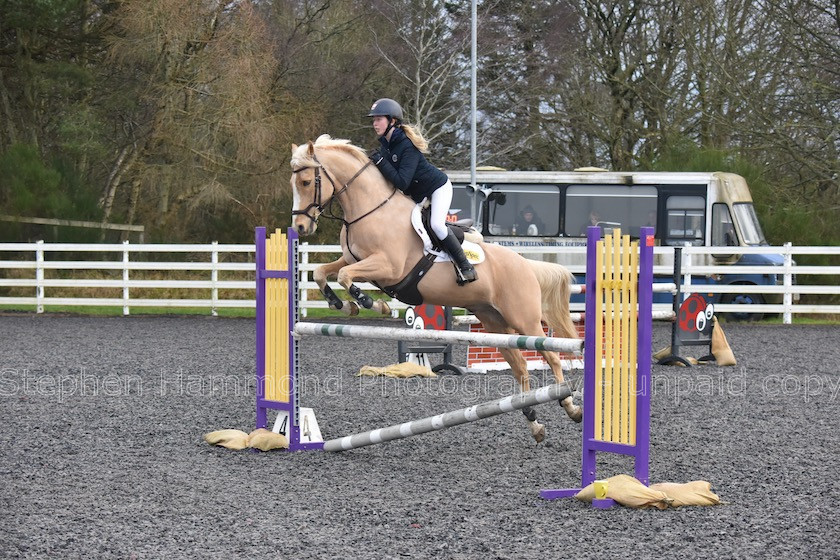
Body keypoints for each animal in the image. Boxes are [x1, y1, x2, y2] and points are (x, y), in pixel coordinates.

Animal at [292, 135, 580, 442]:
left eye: (307, 182)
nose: (300, 227)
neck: (371, 210)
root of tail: (526, 264)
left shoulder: (388, 268)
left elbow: (346, 276)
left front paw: (371, 303)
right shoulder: (352, 259)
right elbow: (322, 272)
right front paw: (342, 304)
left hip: (524, 320)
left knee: (552, 357)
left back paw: (570, 406)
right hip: (495, 324)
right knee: (521, 367)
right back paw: (533, 421)